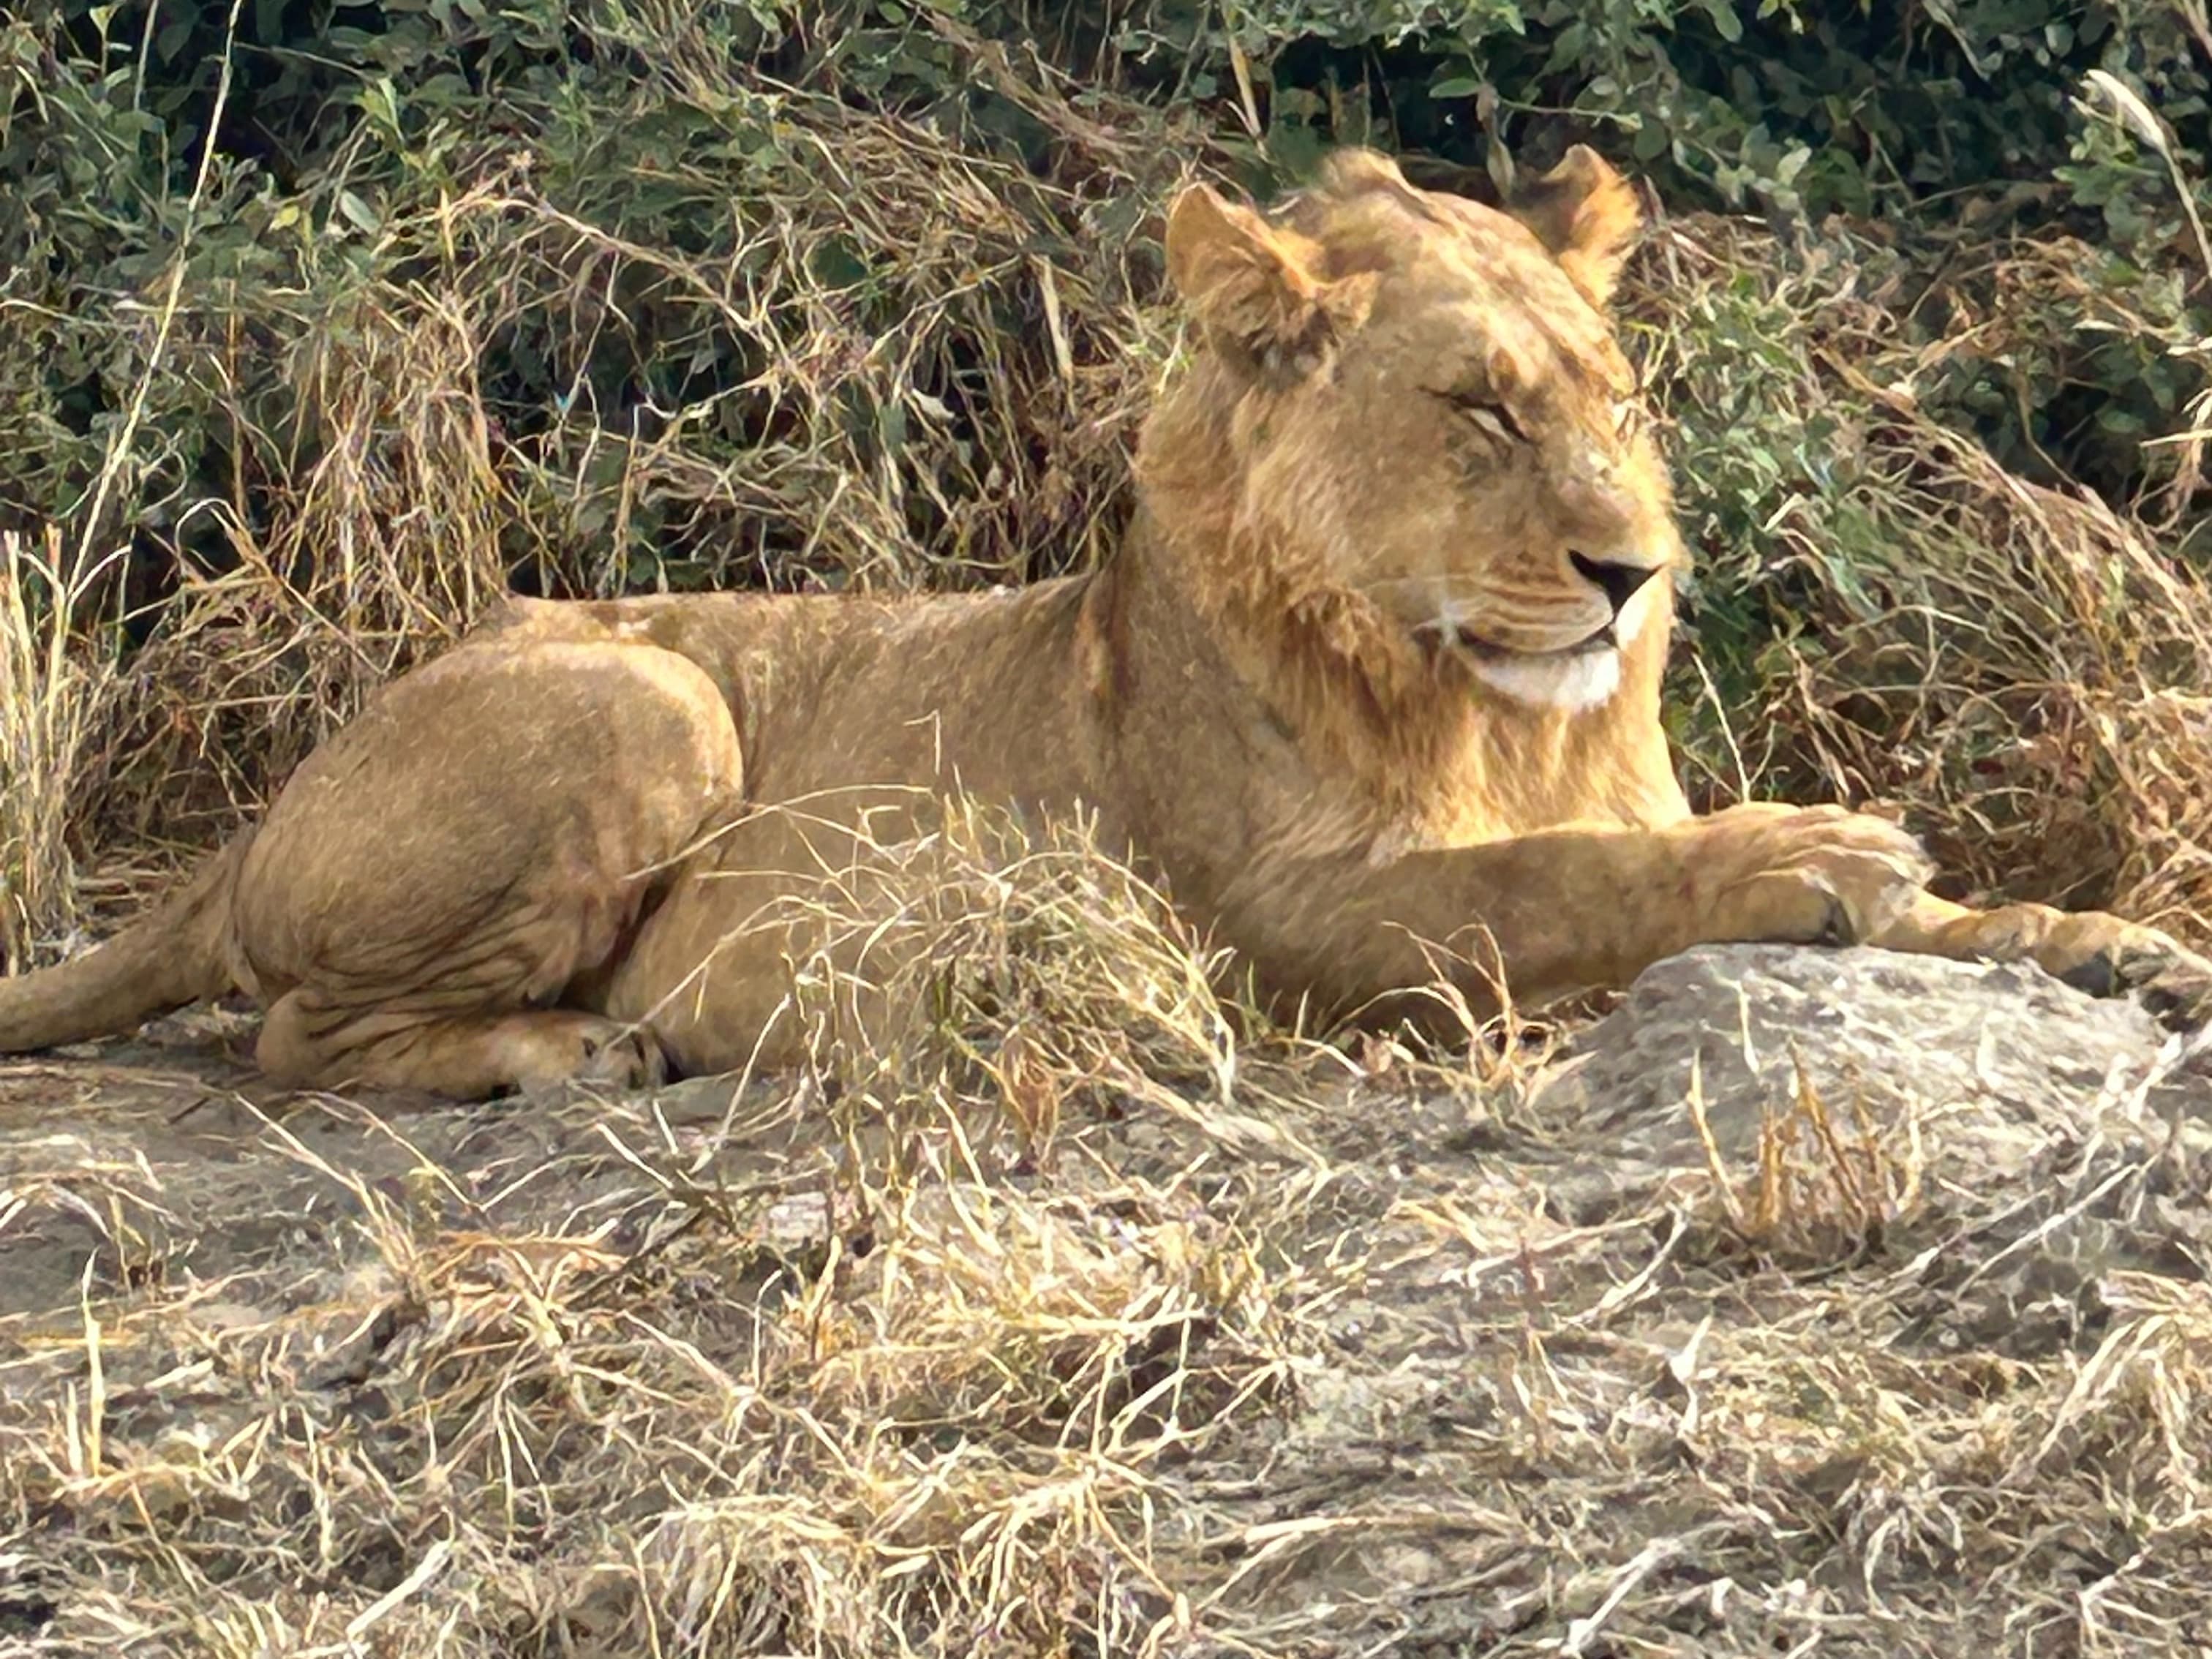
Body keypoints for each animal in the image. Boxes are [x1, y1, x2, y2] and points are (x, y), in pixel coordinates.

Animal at [2, 145, 2204, 1099]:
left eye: (1615, 398)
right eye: (1484, 409)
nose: (1635, 571)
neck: (1500, 705)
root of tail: (256, 825)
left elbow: (1952, 913)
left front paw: (2101, 941)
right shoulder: (1282, 921)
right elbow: (1561, 881)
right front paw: (1812, 854)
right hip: (646, 700)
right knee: (293, 1033)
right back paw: (577, 1051)